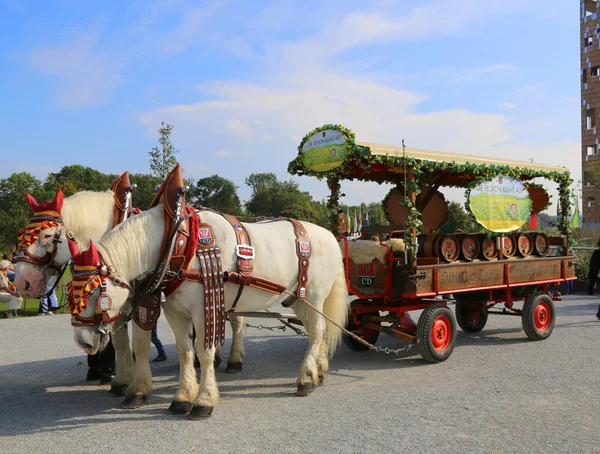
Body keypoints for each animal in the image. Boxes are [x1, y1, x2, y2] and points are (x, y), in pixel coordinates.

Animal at [68, 204, 350, 420]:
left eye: (93, 292)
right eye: (71, 291)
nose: (83, 342)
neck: (180, 244)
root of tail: (329, 236)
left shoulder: (204, 311)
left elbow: (204, 353)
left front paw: (203, 400)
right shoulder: (175, 313)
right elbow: (184, 352)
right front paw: (182, 397)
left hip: (313, 296)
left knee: (317, 332)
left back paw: (306, 378)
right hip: (299, 301)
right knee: (318, 332)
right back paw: (319, 370)